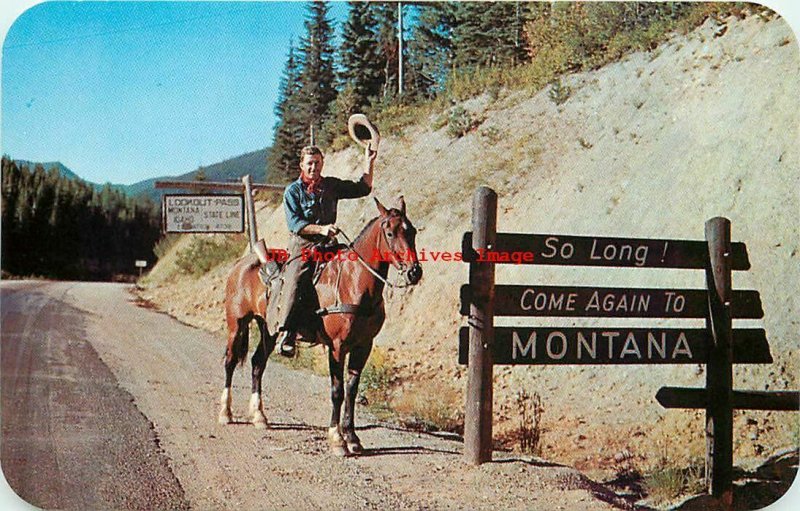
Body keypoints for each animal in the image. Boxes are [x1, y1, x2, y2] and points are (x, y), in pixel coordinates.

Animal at [216, 198, 422, 458]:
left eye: (412, 231)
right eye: (390, 233)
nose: (414, 272)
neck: (354, 282)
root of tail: (242, 264)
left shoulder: (363, 346)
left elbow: (352, 390)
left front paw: (353, 438)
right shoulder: (337, 346)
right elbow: (337, 391)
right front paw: (337, 439)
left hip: (268, 329)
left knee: (257, 364)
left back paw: (259, 416)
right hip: (237, 323)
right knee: (230, 361)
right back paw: (226, 413)